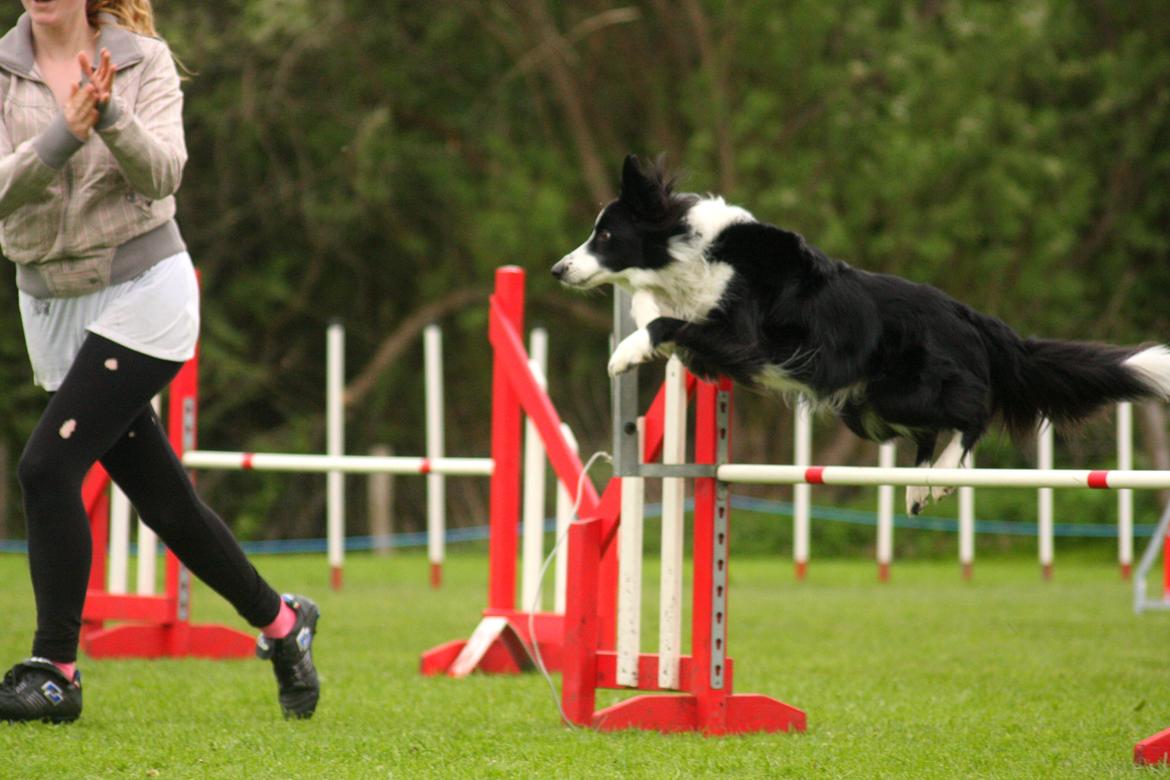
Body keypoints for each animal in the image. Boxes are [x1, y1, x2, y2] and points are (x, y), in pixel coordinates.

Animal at [552, 155, 1170, 514]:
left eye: (606, 235)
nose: (558, 270)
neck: (692, 250)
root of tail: (969, 316)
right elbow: (657, 311)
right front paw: (636, 328)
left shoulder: (743, 338)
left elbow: (667, 321)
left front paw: (625, 353)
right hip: (868, 405)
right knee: (930, 435)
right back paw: (921, 486)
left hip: (904, 389)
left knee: (972, 412)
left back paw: (940, 479)